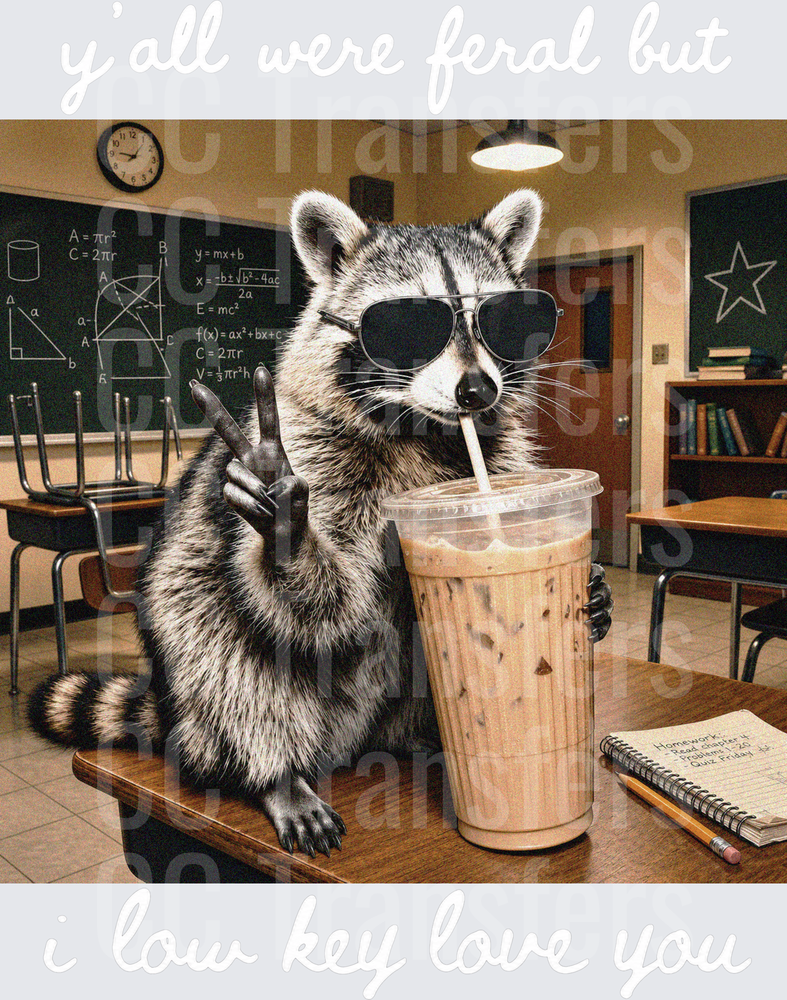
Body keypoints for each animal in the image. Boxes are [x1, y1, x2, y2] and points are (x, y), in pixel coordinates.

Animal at [28, 188, 612, 858]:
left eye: (503, 321)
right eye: (407, 326)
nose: (476, 391)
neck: (424, 430)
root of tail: (351, 742)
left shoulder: (496, 456)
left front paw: (594, 590)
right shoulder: (314, 450)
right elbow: (332, 605)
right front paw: (289, 529)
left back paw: (422, 741)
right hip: (194, 642)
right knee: (227, 656)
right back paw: (276, 773)